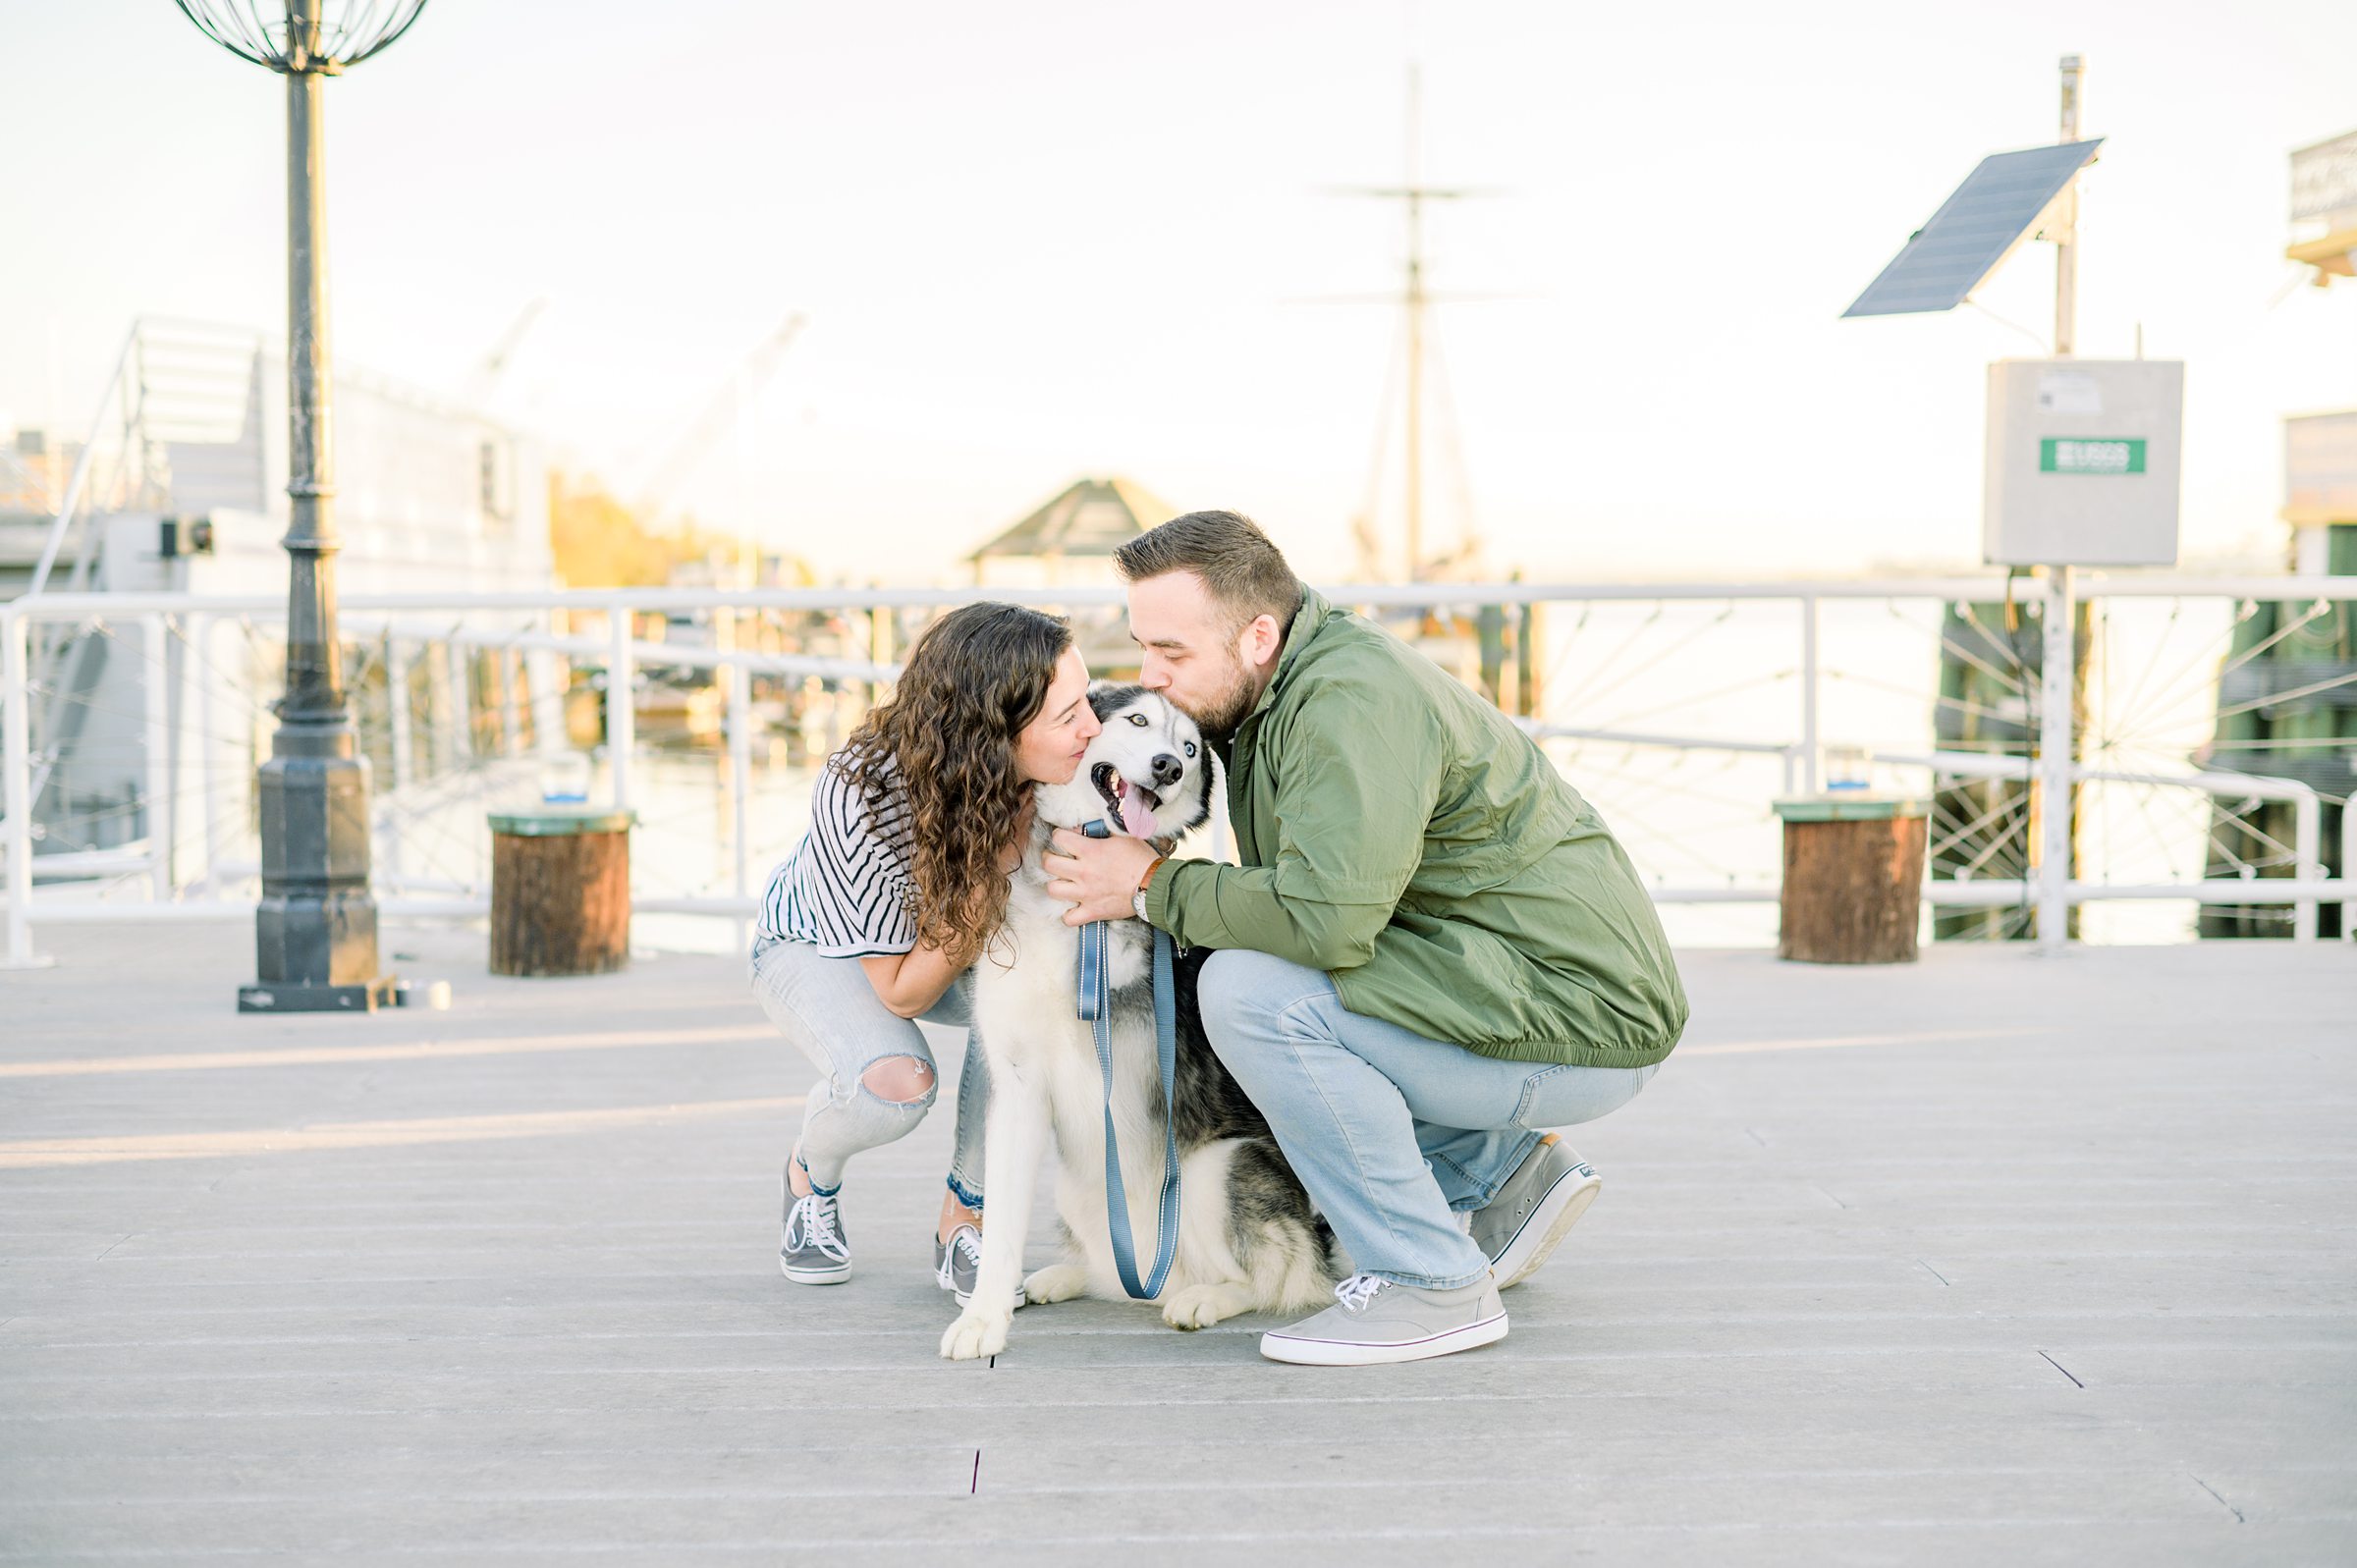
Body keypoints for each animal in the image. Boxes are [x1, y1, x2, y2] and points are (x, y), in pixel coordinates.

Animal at [938, 683, 1347, 1358]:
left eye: (1190, 748)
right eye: (1136, 720)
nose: (1168, 766)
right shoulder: (1019, 1085)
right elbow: (1000, 1226)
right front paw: (983, 1318)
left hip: (1214, 1171)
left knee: (1277, 1278)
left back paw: (1204, 1298)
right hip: (1078, 1188)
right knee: (1117, 1274)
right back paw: (1066, 1276)